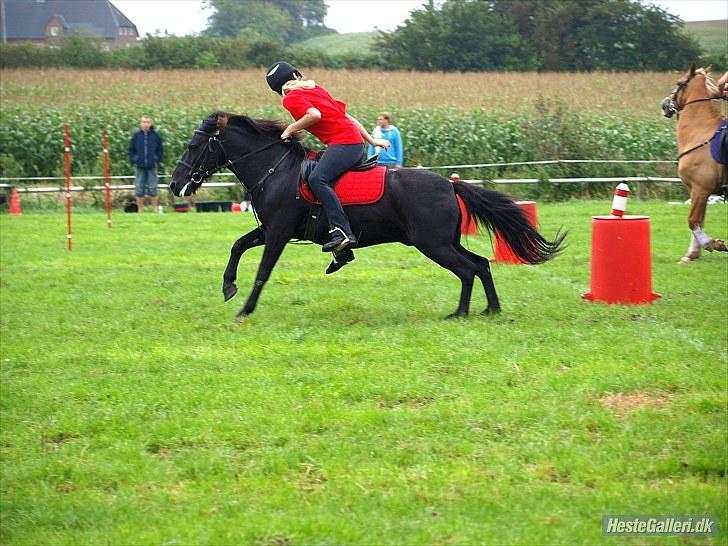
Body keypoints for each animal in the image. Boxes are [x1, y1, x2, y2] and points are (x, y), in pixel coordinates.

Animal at [169, 112, 565, 319]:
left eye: (193, 145)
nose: (175, 185)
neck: (275, 170)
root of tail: (450, 185)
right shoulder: (270, 229)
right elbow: (237, 246)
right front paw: (228, 286)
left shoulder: (279, 232)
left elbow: (263, 271)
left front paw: (245, 309)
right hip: (443, 241)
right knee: (481, 264)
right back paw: (490, 310)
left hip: (432, 243)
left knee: (468, 269)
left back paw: (461, 312)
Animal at [661, 64, 727, 263]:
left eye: (679, 83)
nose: (664, 104)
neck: (700, 133)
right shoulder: (698, 191)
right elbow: (699, 221)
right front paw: (692, 254)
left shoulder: (700, 189)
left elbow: (692, 221)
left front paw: (713, 244)